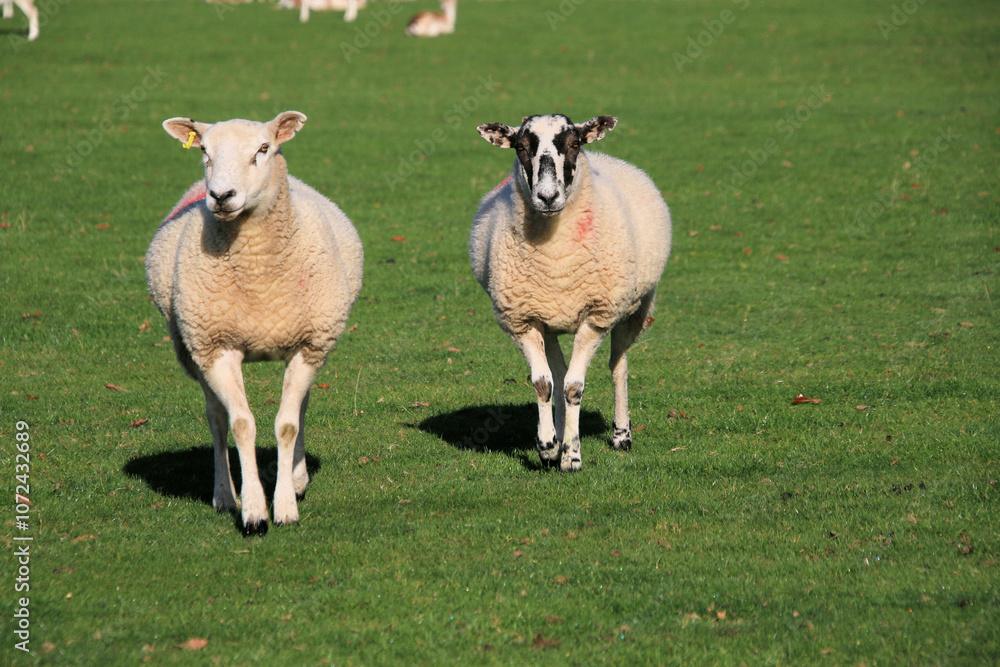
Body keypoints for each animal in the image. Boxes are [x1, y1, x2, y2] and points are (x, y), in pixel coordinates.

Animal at [145, 111, 364, 535]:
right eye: (204, 150)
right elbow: (242, 424)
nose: (221, 196)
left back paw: (296, 478)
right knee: (216, 419)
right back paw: (224, 495)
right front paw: (253, 512)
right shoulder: (216, 347)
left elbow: (287, 424)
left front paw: (286, 505)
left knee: (300, 408)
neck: (259, 274)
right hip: (192, 348)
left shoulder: (308, 346)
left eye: (264, 148)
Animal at [469, 114, 672, 472]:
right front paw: (549, 446)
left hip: (633, 310)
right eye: (521, 147)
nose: (548, 197)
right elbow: (544, 383)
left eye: (575, 144)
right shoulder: (524, 320)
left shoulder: (596, 317)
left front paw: (572, 457)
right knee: (559, 374)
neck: (555, 257)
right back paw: (561, 432)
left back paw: (621, 435)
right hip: (550, 321)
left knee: (618, 367)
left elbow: (575, 387)